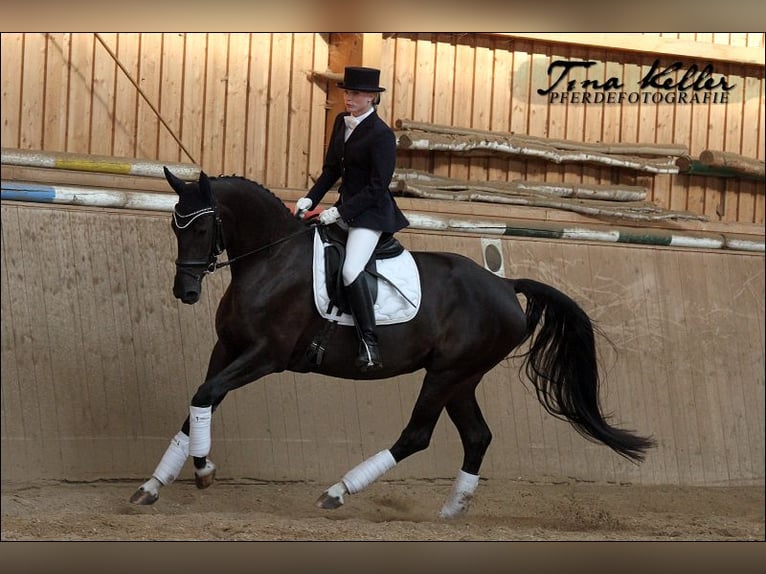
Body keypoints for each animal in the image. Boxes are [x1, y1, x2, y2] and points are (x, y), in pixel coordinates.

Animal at [130, 169, 656, 520]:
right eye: (174, 225)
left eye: (201, 226)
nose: (186, 292)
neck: (270, 260)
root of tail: (506, 287)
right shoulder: (227, 349)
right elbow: (200, 401)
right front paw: (157, 483)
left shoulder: (266, 357)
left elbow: (205, 395)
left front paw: (202, 470)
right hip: (461, 379)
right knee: (477, 436)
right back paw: (451, 512)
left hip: (446, 374)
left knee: (416, 435)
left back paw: (338, 492)